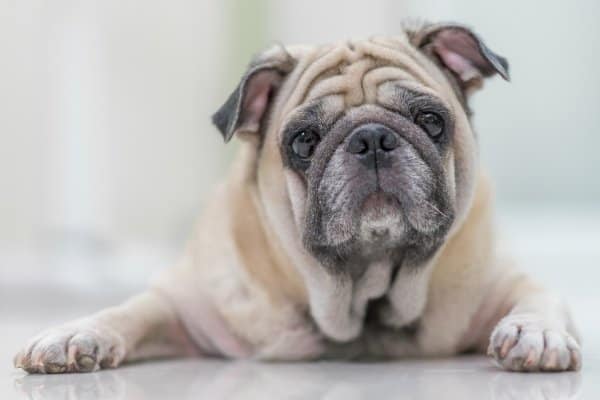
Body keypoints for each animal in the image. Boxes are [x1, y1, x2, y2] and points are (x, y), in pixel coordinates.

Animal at [15, 21, 580, 372]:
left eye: (430, 120)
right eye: (304, 141)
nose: (371, 139)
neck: (362, 293)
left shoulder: (502, 282)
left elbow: (539, 297)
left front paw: (534, 333)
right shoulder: (183, 306)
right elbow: (128, 311)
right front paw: (74, 335)